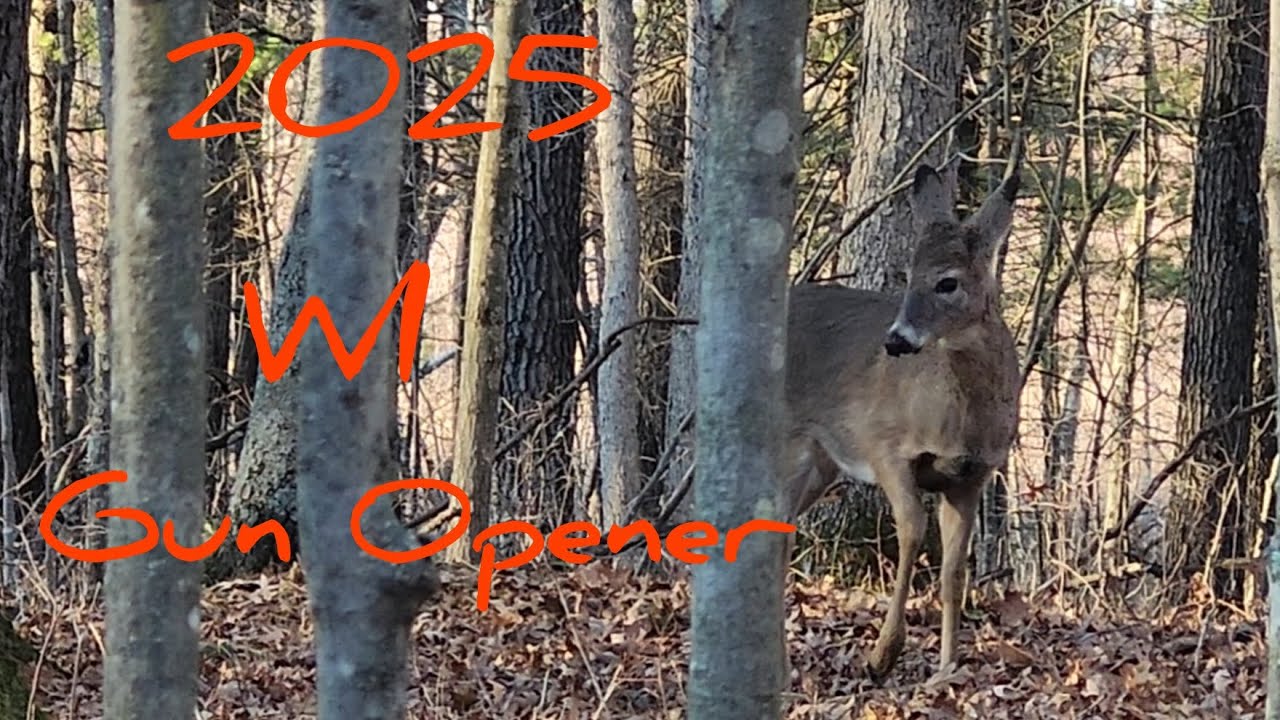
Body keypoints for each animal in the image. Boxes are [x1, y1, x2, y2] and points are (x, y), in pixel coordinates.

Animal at [780, 162, 1022, 679]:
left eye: (948, 282)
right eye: (909, 275)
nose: (896, 340)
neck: (959, 420)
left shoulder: (972, 474)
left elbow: (954, 571)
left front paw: (948, 666)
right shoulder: (885, 447)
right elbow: (911, 532)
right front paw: (883, 653)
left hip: (821, 461)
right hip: (788, 439)